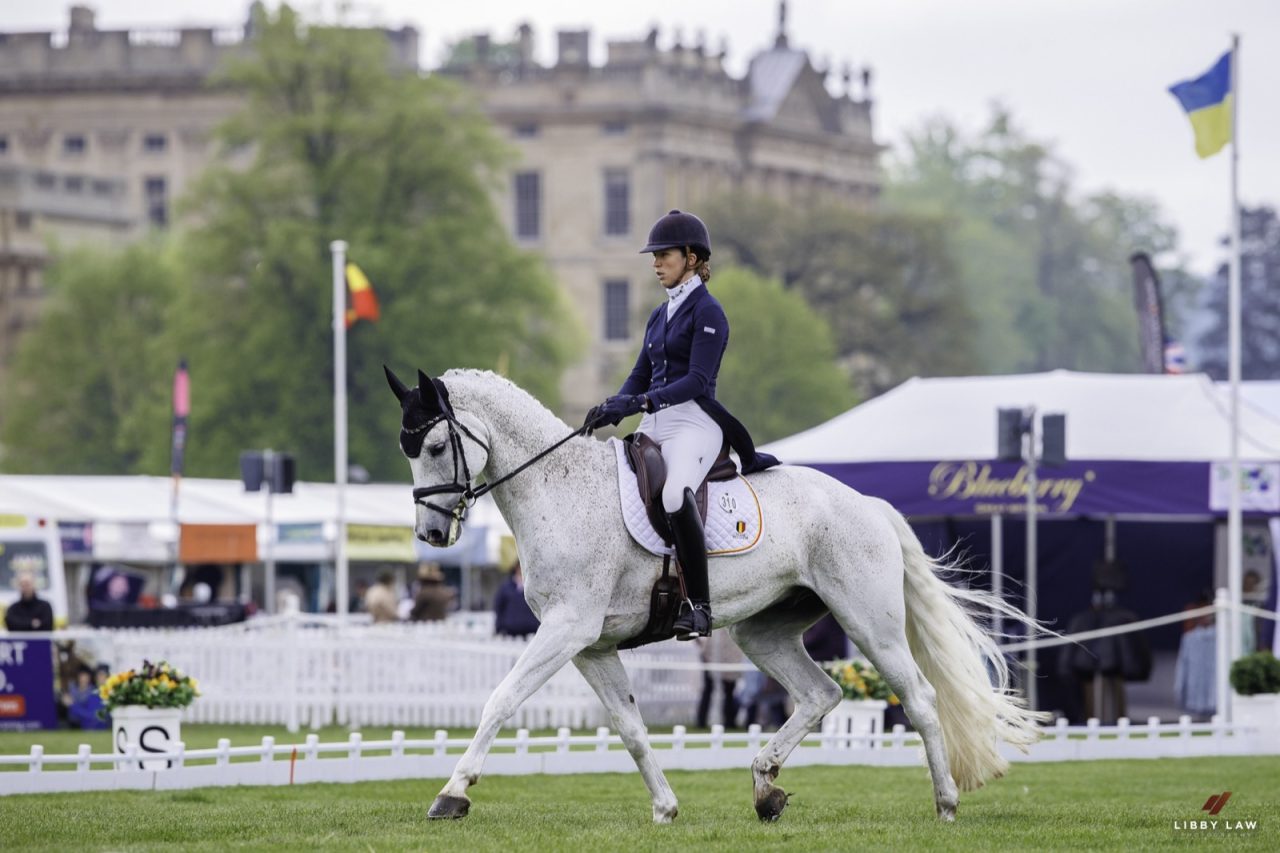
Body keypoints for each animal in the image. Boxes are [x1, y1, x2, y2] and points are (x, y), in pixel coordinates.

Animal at [384, 366, 1044, 824]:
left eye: (437, 447)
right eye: (408, 451)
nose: (432, 535)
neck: (561, 490)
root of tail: (867, 503)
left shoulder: (567, 629)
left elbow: (500, 700)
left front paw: (451, 794)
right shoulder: (591, 644)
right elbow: (631, 728)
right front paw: (666, 808)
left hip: (869, 622)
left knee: (921, 699)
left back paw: (946, 803)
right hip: (763, 630)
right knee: (821, 693)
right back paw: (765, 787)